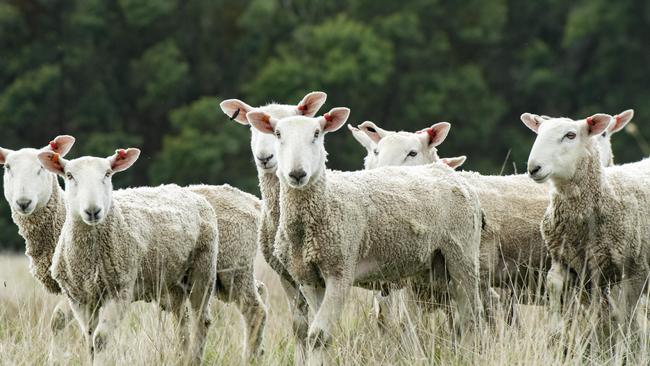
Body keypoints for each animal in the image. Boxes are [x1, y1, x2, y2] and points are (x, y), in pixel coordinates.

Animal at [38, 148, 218, 364]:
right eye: (69, 175)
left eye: (108, 173)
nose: (93, 211)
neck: (90, 259)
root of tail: (187, 190)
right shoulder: (80, 297)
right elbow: (89, 340)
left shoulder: (120, 290)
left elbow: (100, 339)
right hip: (173, 281)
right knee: (181, 322)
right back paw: (182, 358)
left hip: (203, 269)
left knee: (201, 320)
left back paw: (194, 358)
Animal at [246, 107, 484, 364]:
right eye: (278, 134)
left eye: (317, 133)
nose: (297, 173)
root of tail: (444, 170)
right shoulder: (308, 278)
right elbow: (314, 334)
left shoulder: (340, 271)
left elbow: (319, 334)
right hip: (428, 267)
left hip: (463, 257)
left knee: (470, 317)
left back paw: (468, 356)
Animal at [520, 112, 648, 338]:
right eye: (538, 132)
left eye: (570, 135)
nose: (533, 168)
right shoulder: (563, 257)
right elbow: (554, 285)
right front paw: (556, 328)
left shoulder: (634, 270)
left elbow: (625, 316)